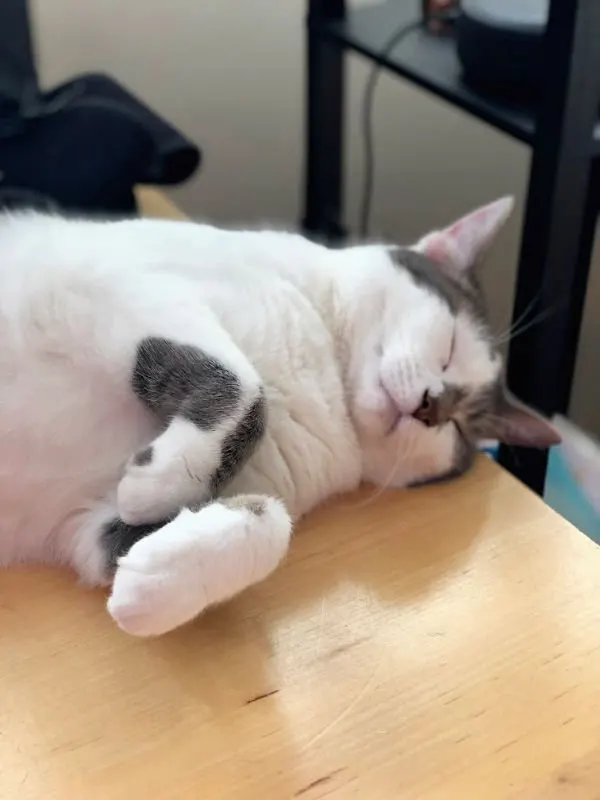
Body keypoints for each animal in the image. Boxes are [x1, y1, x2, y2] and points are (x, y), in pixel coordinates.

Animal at [0, 195, 556, 636]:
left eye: (458, 424)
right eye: (450, 346)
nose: (433, 405)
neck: (329, 379)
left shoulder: (82, 524)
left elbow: (270, 522)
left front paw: (155, 584)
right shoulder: (106, 280)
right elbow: (249, 390)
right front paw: (167, 477)